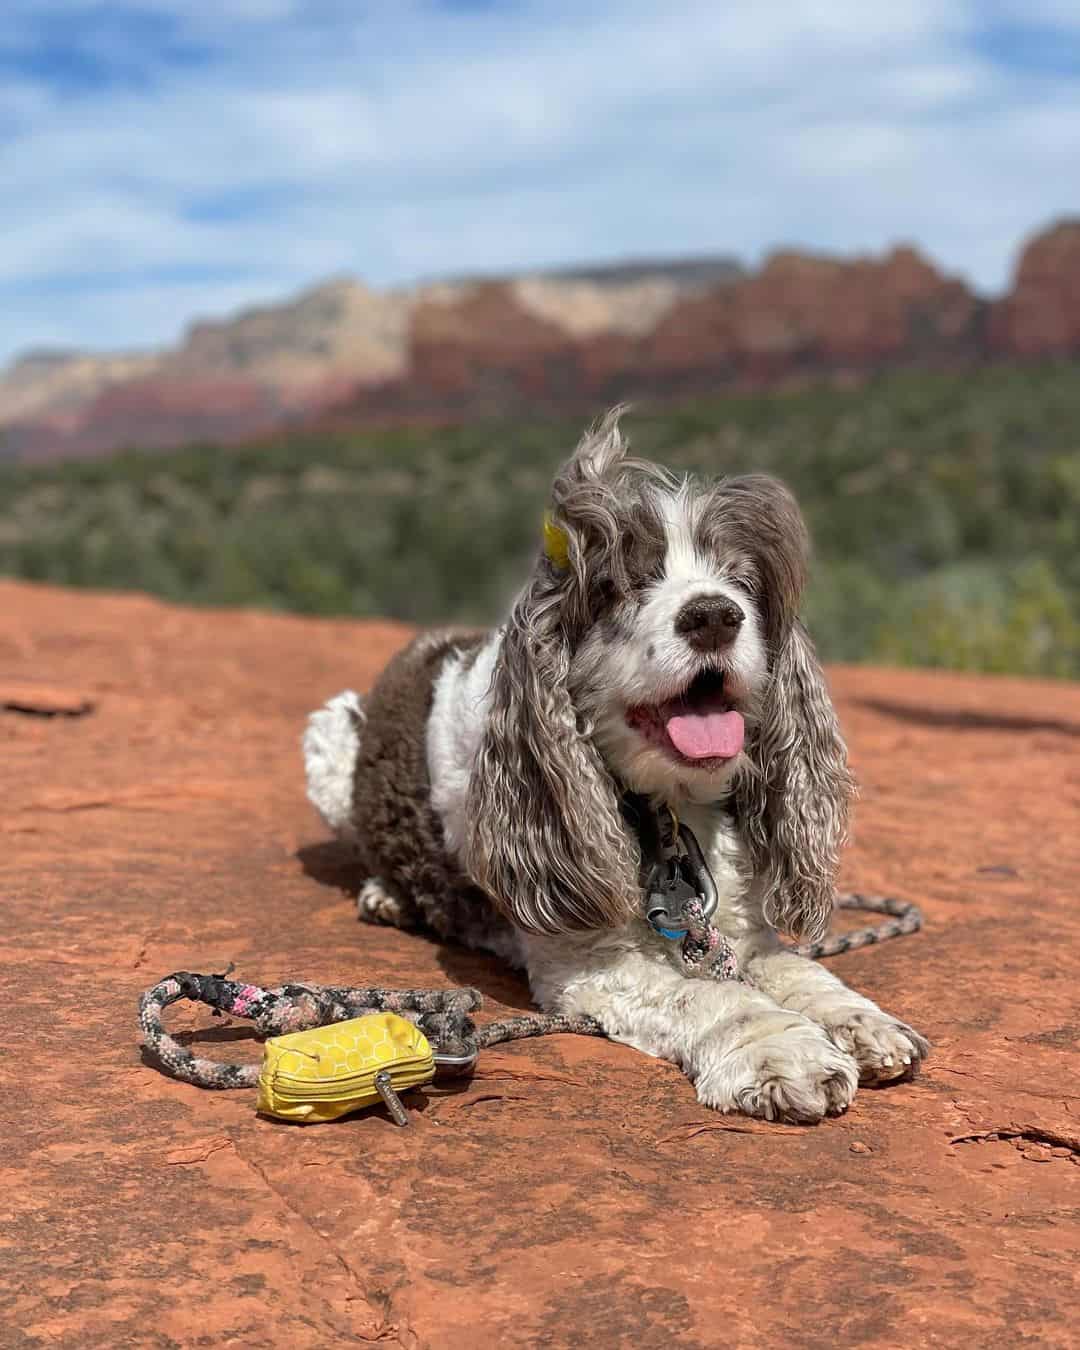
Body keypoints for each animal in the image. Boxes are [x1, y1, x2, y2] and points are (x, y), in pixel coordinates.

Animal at [303, 413, 928, 1128]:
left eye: (740, 582)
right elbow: (714, 998)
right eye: (621, 585)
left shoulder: (742, 929)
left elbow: (801, 972)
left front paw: (863, 1024)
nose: (714, 614)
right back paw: (385, 893)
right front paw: (783, 1056)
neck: (667, 811)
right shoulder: (590, 962)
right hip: (329, 737)